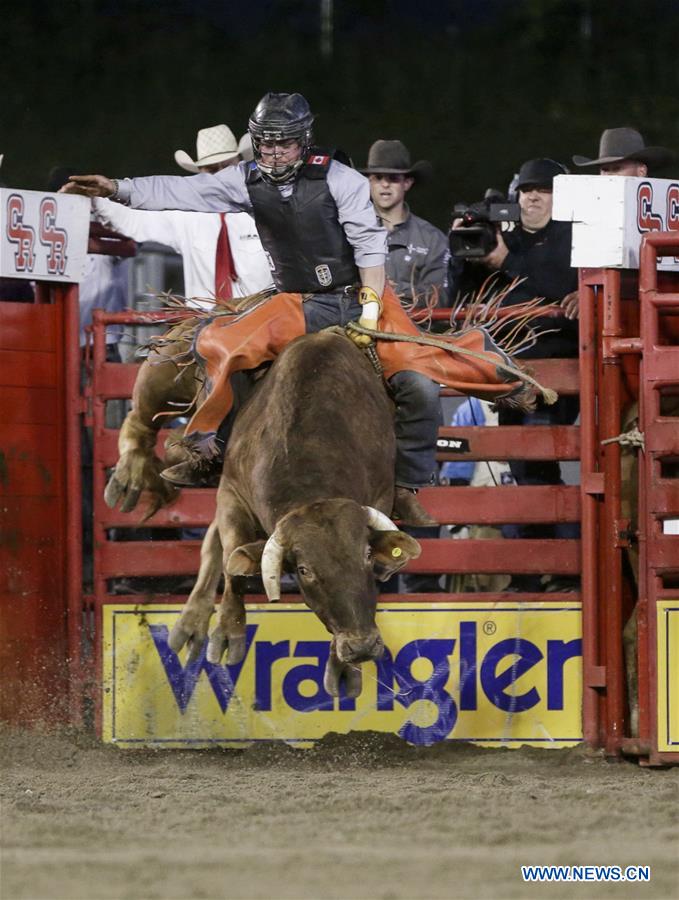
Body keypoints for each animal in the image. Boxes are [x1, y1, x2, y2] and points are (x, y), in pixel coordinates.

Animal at [107, 320, 420, 700]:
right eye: (304, 570)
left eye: (366, 555)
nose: (361, 646)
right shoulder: (232, 493)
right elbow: (235, 562)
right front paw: (229, 632)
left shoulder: (380, 495)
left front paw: (344, 667)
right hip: (171, 363)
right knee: (142, 415)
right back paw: (129, 476)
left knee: (211, 541)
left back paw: (192, 623)